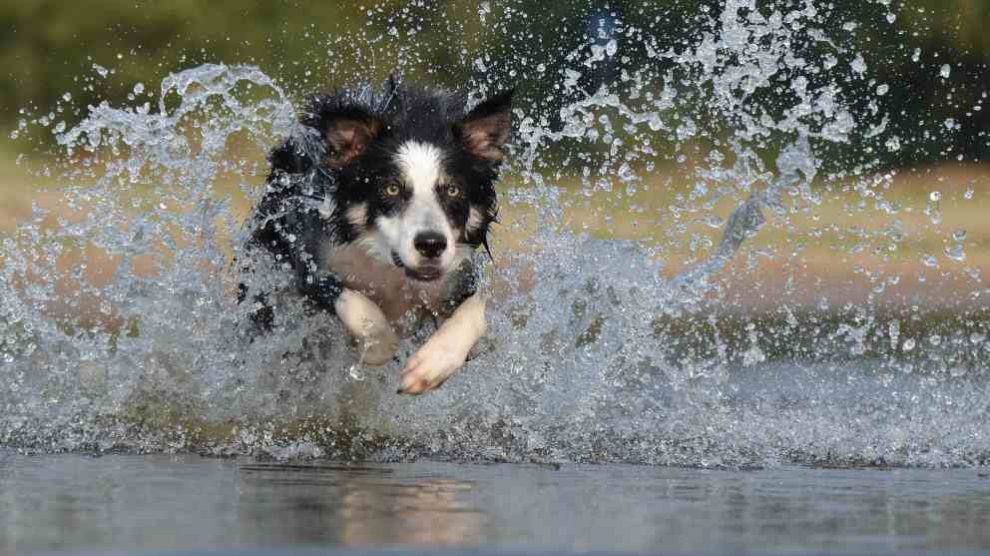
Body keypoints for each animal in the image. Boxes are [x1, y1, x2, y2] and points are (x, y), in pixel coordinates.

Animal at [238, 80, 512, 398]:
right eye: (391, 188)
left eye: (453, 190)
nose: (431, 244)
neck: (388, 267)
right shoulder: (310, 263)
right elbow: (359, 309)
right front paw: (377, 347)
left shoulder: (458, 276)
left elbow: (476, 310)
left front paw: (430, 366)